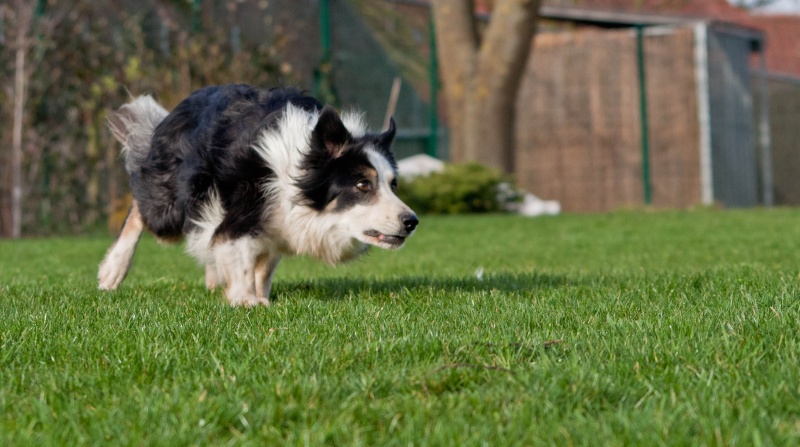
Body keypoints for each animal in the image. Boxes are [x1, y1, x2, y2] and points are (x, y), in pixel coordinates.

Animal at [98, 85, 418, 308]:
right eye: (363, 185)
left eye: (393, 184)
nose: (412, 221)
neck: (297, 171)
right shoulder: (246, 207)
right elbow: (235, 248)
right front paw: (245, 299)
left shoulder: (278, 223)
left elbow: (262, 267)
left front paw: (254, 291)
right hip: (174, 204)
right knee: (140, 207)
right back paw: (113, 270)